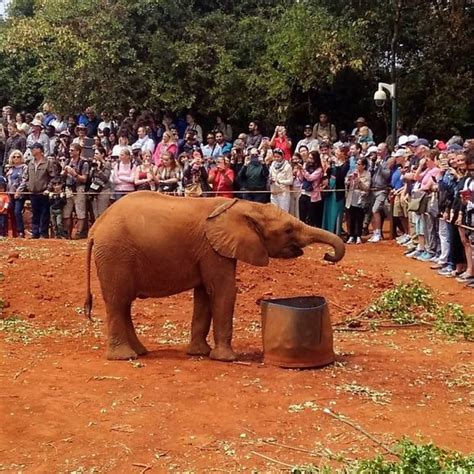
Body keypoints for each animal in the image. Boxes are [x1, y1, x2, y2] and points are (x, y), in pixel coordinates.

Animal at [84, 191, 344, 362]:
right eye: (288, 230)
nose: (328, 255)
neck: (240, 206)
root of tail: (95, 227)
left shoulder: (208, 250)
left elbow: (204, 295)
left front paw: (200, 354)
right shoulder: (212, 249)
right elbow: (223, 291)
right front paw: (226, 359)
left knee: (124, 304)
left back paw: (140, 352)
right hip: (115, 254)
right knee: (118, 302)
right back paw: (124, 357)